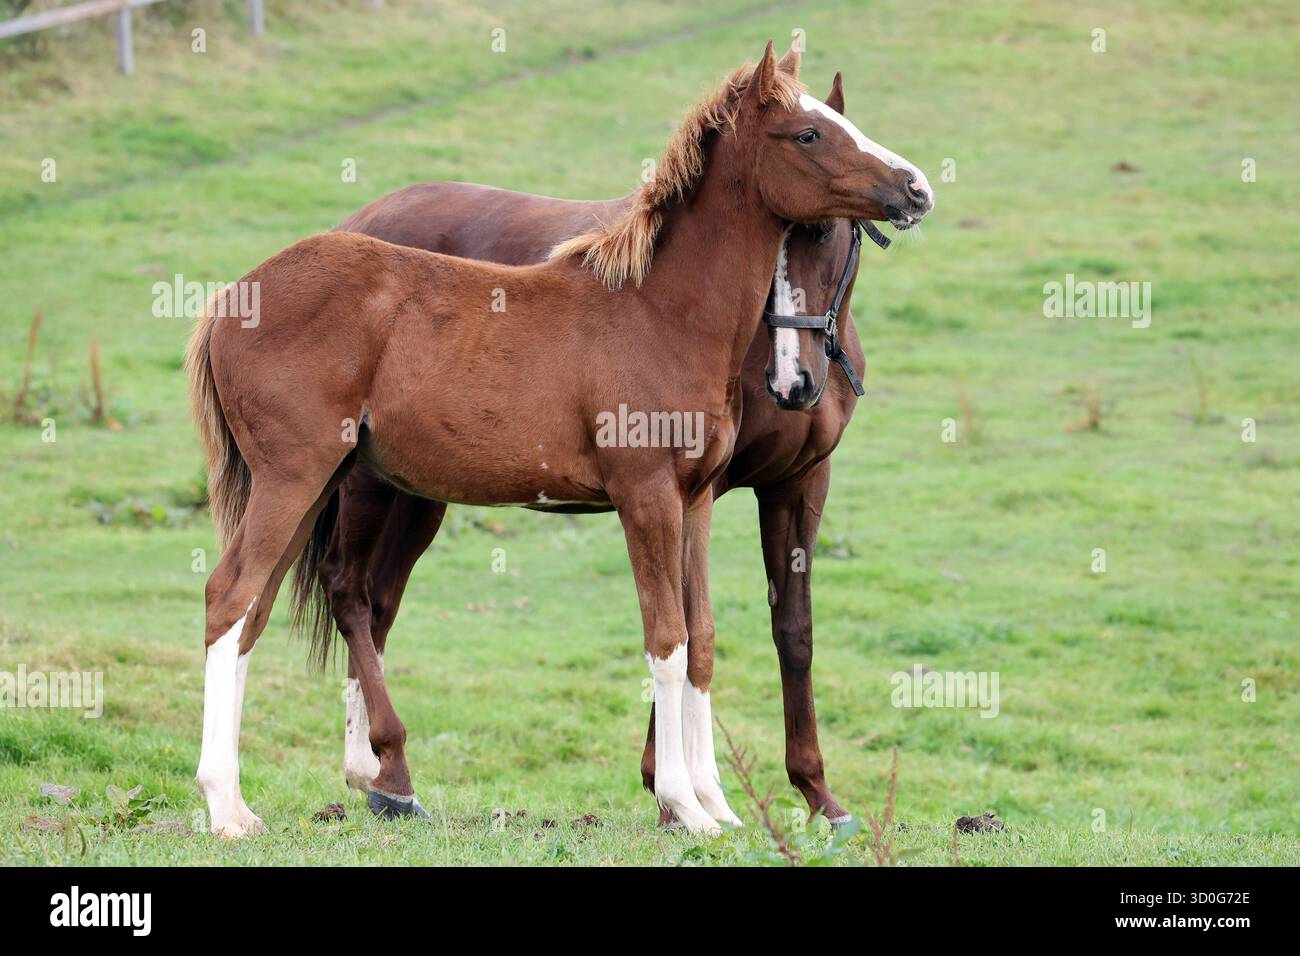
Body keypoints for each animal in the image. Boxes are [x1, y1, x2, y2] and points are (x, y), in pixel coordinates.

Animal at [187, 42, 933, 837]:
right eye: (808, 134)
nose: (916, 188)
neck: (660, 311)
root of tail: (231, 297)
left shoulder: (696, 498)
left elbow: (701, 640)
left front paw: (714, 804)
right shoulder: (644, 495)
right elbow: (666, 640)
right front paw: (683, 805)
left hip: (319, 486)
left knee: (266, 607)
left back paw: (278, 798)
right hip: (300, 478)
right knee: (238, 595)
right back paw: (233, 806)